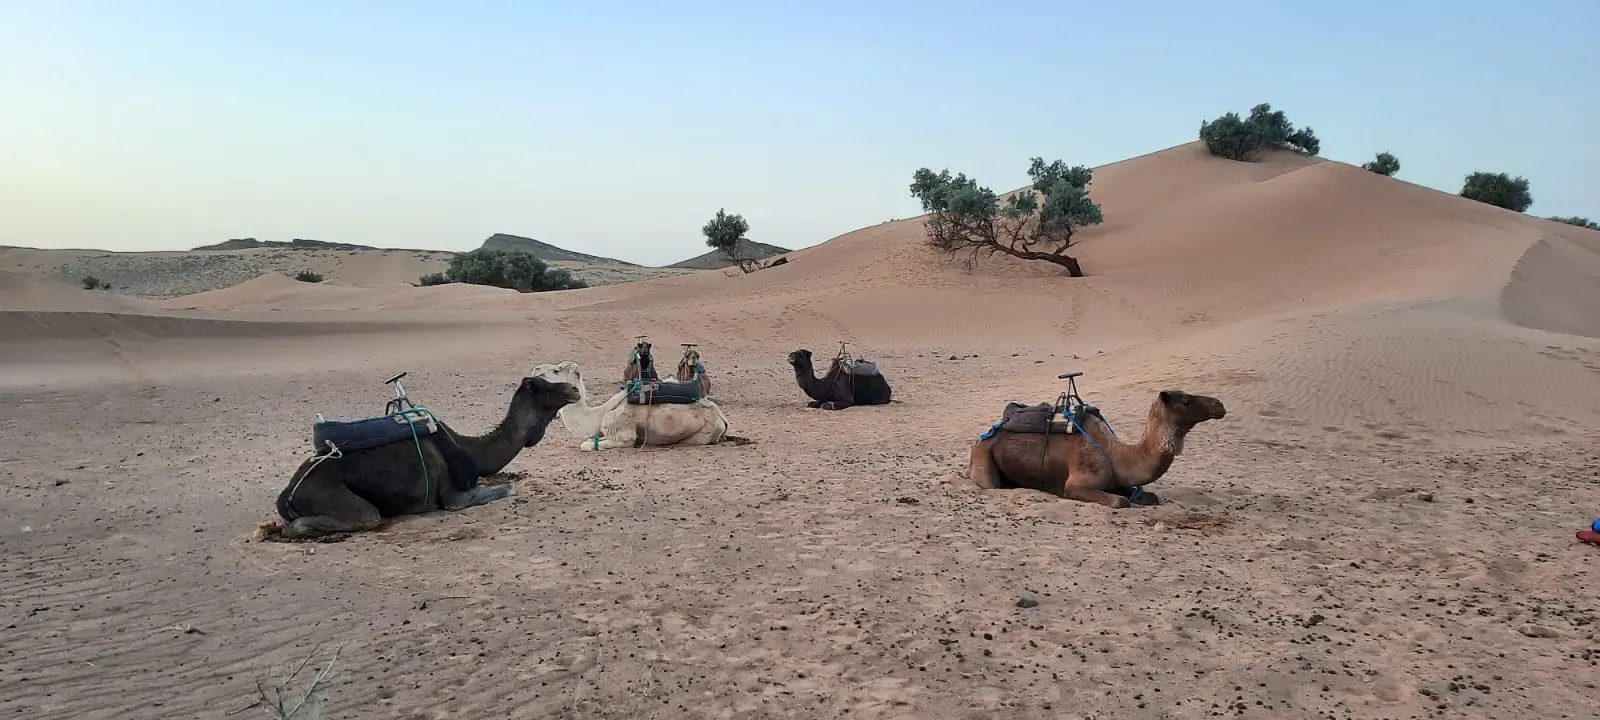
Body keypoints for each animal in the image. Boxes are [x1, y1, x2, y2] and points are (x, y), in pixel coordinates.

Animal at [271, 375, 580, 539]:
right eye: (546, 388)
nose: (575, 389)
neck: (470, 450)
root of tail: (287, 493)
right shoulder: (454, 497)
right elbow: (509, 488)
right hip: (334, 497)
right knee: (364, 515)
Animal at [531, 361, 732, 450]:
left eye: (556, 370)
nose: (535, 369)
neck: (599, 414)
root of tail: (722, 418)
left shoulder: (622, 432)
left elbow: (586, 445)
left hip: (702, 434)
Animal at [966, 389, 1226, 508]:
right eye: (1186, 400)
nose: (1219, 404)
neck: (1117, 455)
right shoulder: (1078, 482)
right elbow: (1120, 502)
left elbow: (1149, 497)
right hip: (983, 459)